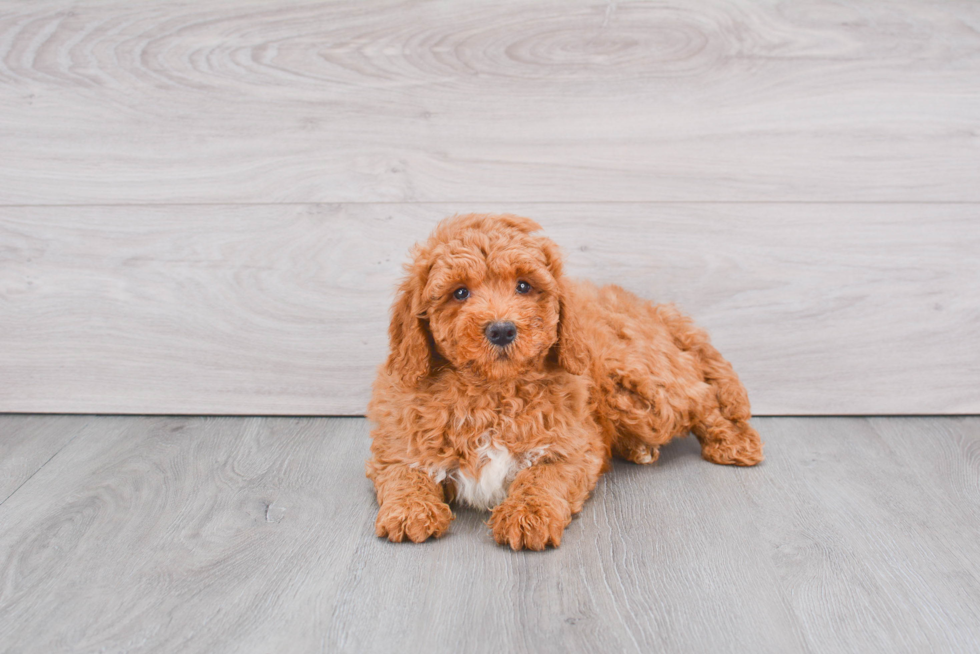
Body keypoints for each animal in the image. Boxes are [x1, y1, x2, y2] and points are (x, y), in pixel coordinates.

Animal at [368, 217, 764, 552]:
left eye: (524, 286)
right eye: (460, 292)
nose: (502, 329)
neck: (491, 390)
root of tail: (654, 310)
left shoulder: (572, 444)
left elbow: (545, 476)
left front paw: (528, 516)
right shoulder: (399, 437)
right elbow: (403, 471)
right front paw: (410, 510)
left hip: (638, 386)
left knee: (700, 397)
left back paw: (733, 441)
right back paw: (638, 448)